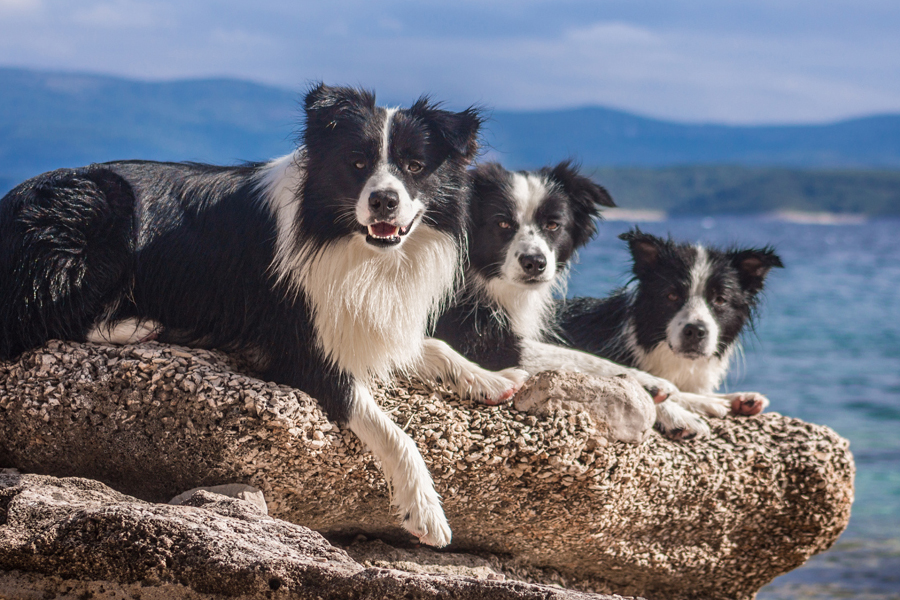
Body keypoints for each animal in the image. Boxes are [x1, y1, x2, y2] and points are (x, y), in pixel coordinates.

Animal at [0, 84, 528, 548]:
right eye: (356, 164)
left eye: (416, 166)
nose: (384, 200)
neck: (344, 238)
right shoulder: (299, 350)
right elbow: (392, 431)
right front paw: (425, 512)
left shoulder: (358, 317)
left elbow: (431, 346)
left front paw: (491, 379)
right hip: (95, 210)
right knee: (34, 315)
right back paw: (139, 324)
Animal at [432, 161, 680, 412]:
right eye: (502, 223)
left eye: (552, 225)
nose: (534, 263)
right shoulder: (466, 332)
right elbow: (572, 356)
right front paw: (649, 381)